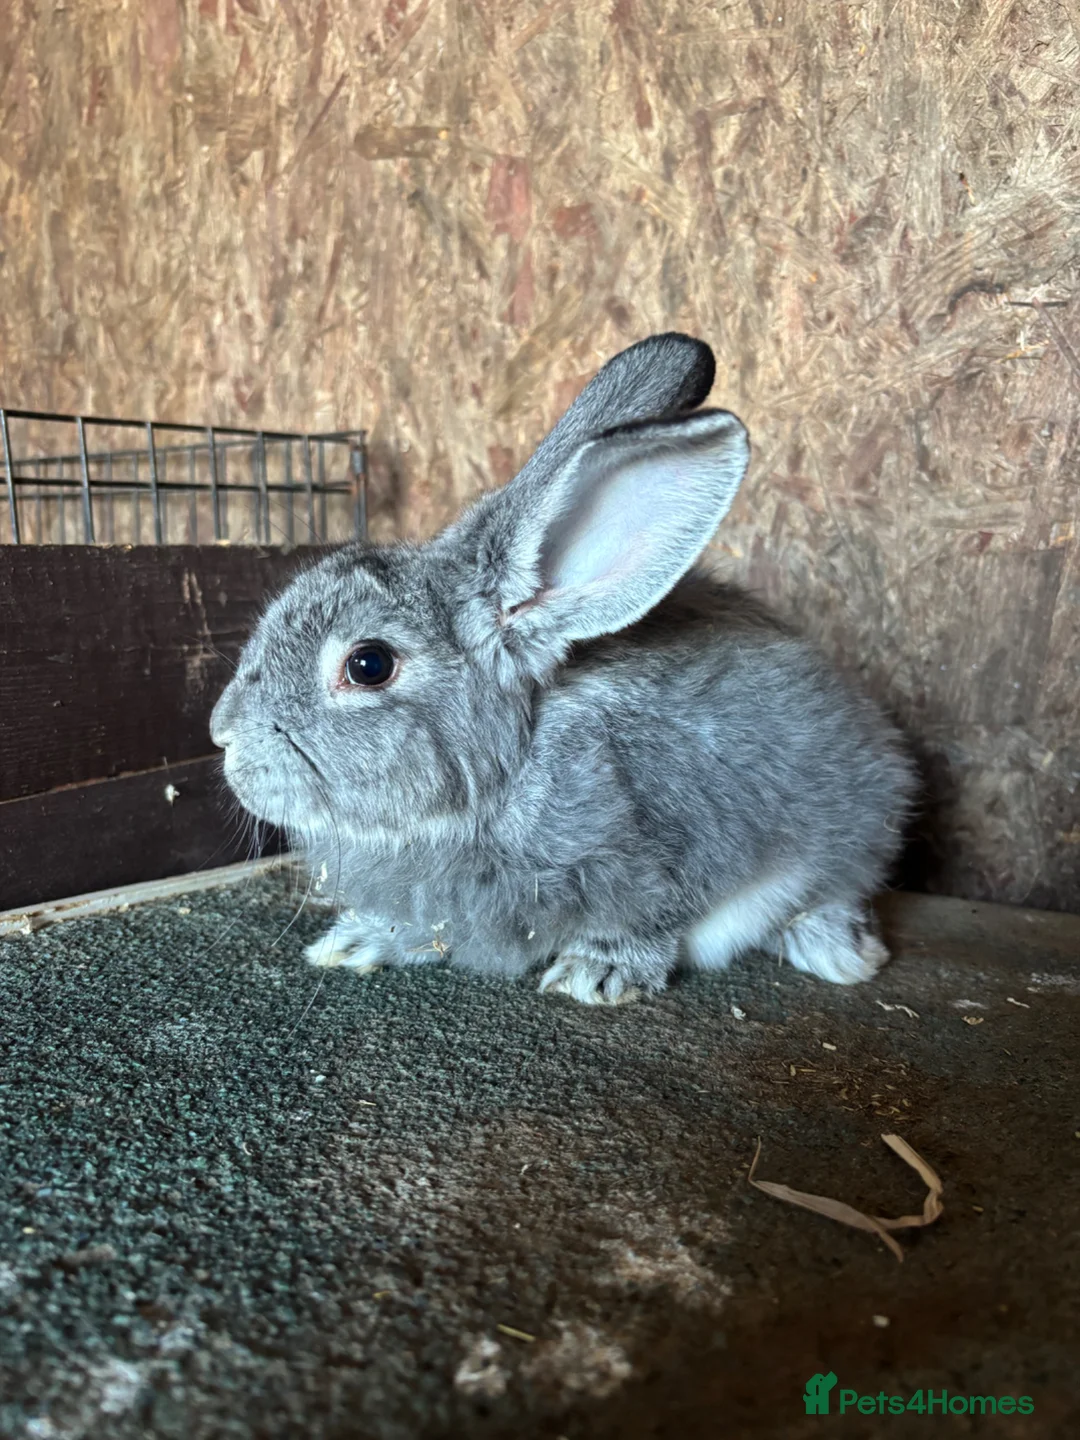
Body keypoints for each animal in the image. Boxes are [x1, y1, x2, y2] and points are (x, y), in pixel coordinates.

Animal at [210, 333, 916, 1005]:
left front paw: (597, 973)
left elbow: (651, 919)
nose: (222, 733)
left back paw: (839, 951)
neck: (511, 774)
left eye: (368, 664)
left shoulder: (680, 846)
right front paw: (357, 941)